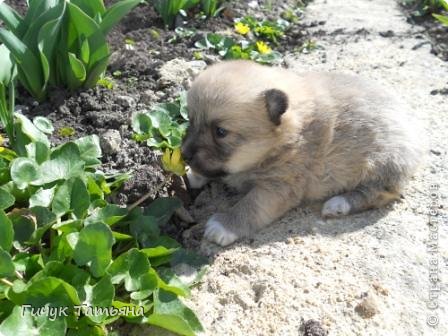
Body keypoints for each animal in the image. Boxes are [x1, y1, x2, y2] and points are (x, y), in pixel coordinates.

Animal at [181, 60, 424, 245]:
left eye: (220, 132)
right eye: (190, 121)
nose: (184, 155)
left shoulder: (277, 188)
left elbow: (250, 205)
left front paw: (224, 225)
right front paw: (193, 175)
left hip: (381, 163)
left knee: (379, 192)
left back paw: (338, 205)